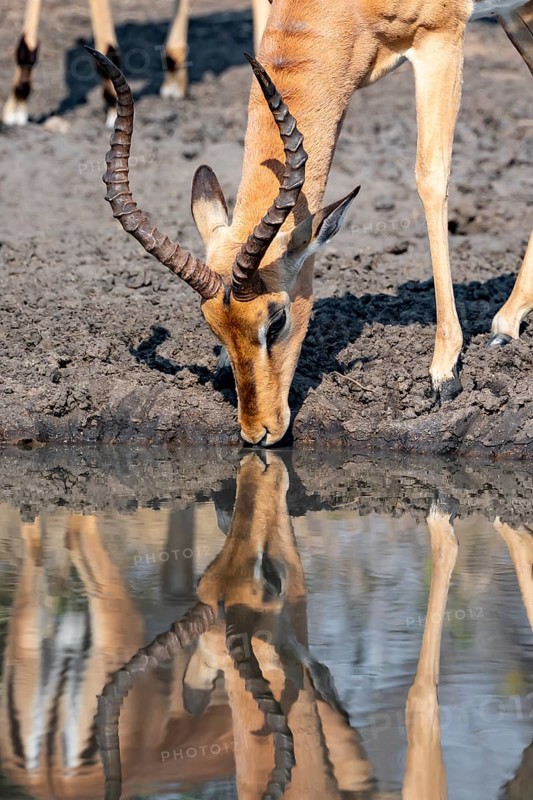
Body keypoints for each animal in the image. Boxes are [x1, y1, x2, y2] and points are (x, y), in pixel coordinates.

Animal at [88, 0, 533, 446]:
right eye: (214, 328)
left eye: (277, 320)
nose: (257, 433)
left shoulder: (440, 37)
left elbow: (430, 177)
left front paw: (444, 373)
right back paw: (507, 322)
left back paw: (499, 327)